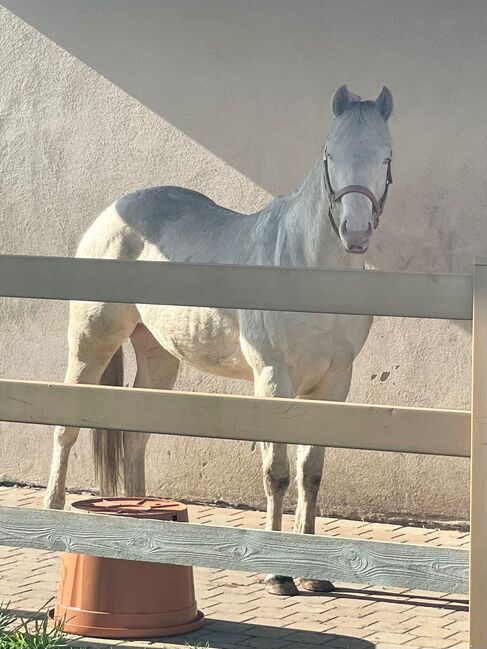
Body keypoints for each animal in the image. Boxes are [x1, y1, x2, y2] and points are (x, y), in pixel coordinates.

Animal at [43, 85, 394, 592]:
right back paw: (53, 513)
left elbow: (311, 473)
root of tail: (113, 212)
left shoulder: (332, 386)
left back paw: (134, 518)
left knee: (134, 434)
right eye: (330, 155)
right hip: (92, 342)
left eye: (386, 157)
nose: (356, 231)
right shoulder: (273, 381)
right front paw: (278, 574)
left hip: (159, 358)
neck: (306, 266)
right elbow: (277, 474)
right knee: (66, 426)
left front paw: (315, 576)